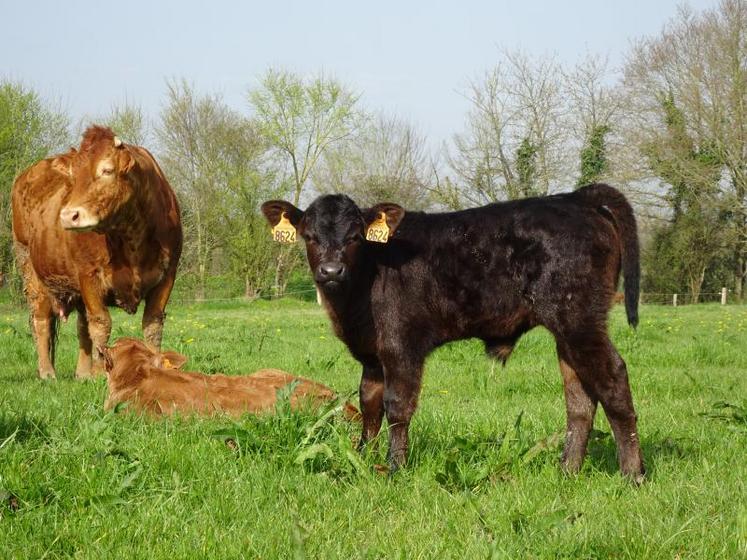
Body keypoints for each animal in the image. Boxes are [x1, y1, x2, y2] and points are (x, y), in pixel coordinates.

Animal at [11, 126, 183, 380]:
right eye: (73, 177)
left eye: (107, 170)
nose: (68, 215)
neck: (132, 236)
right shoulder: (89, 274)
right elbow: (102, 323)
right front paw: (103, 371)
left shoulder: (167, 275)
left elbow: (152, 324)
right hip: (30, 270)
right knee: (41, 319)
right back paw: (47, 372)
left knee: (82, 326)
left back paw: (83, 373)